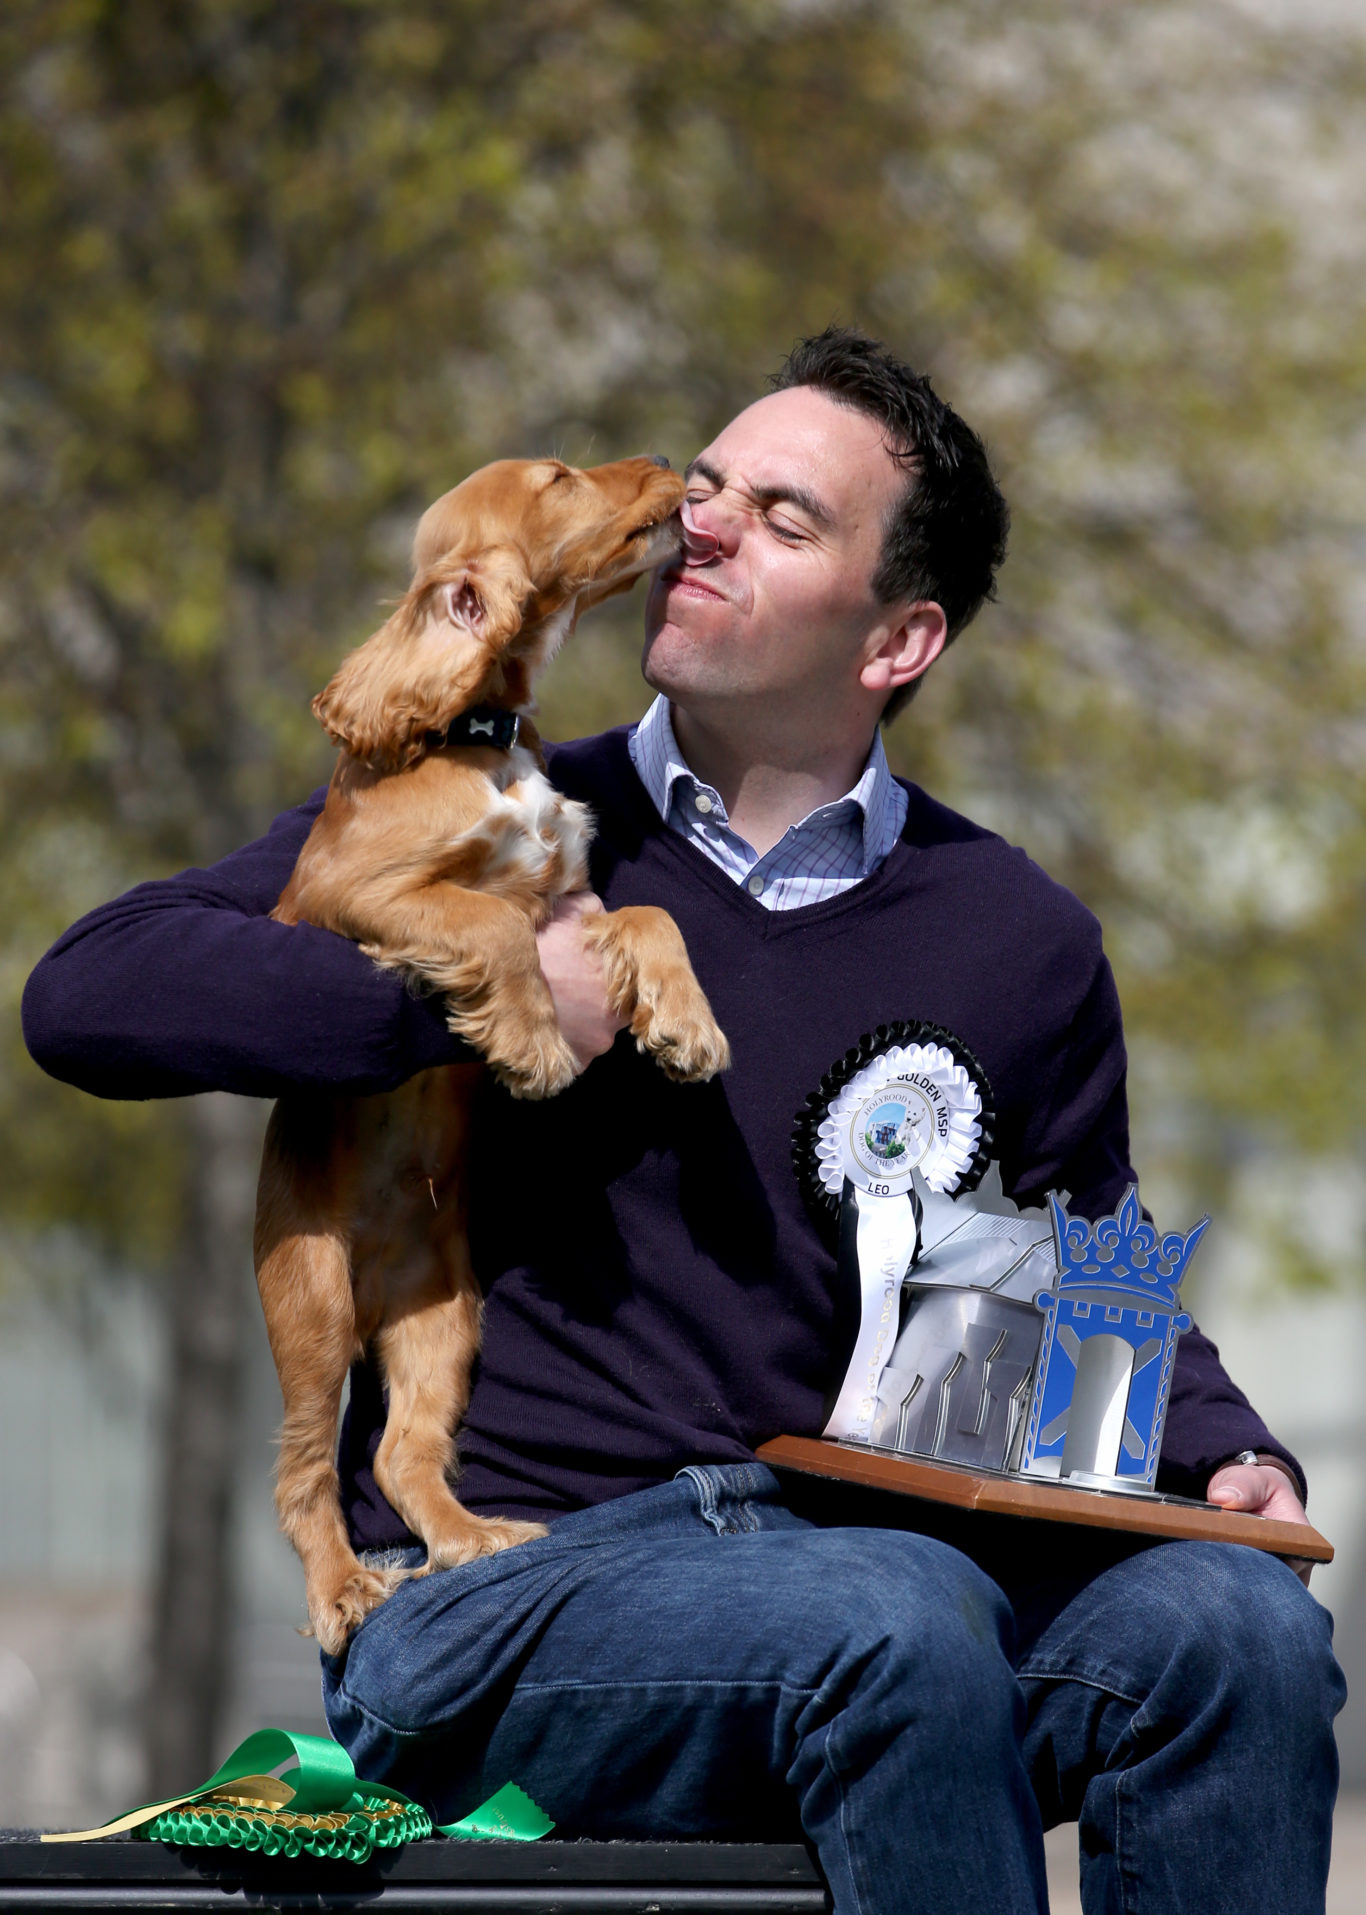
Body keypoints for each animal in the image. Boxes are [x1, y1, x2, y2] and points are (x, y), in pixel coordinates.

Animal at [250, 455, 731, 1654]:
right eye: (557, 477)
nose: (673, 465)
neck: (477, 737)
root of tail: (377, 1282)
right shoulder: (349, 897)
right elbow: (486, 922)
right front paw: (536, 1045)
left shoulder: (576, 897)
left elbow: (651, 913)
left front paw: (688, 1025)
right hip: (311, 1305)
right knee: (305, 1474)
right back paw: (343, 1591)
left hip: (445, 1321)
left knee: (399, 1456)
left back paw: (476, 1538)